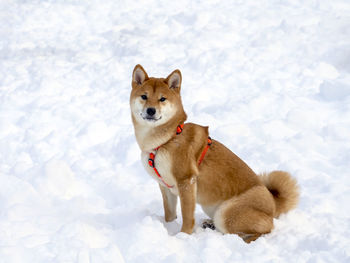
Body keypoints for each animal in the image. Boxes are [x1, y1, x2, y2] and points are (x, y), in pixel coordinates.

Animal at [130, 64, 300, 243]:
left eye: (162, 99)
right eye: (144, 96)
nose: (151, 111)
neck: (167, 140)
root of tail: (273, 205)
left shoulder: (186, 181)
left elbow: (187, 216)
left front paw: (183, 236)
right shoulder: (165, 186)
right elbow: (170, 214)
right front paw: (168, 228)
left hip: (226, 214)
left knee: (264, 230)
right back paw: (210, 224)